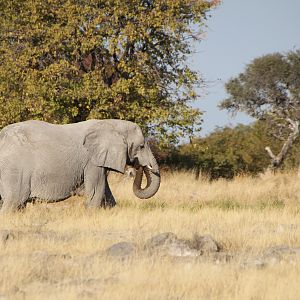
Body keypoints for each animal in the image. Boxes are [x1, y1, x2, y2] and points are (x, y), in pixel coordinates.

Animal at [0, 118, 161, 212]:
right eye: (141, 146)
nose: (136, 167)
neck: (111, 124)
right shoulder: (92, 161)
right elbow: (96, 191)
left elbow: (106, 192)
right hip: (15, 171)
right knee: (14, 202)